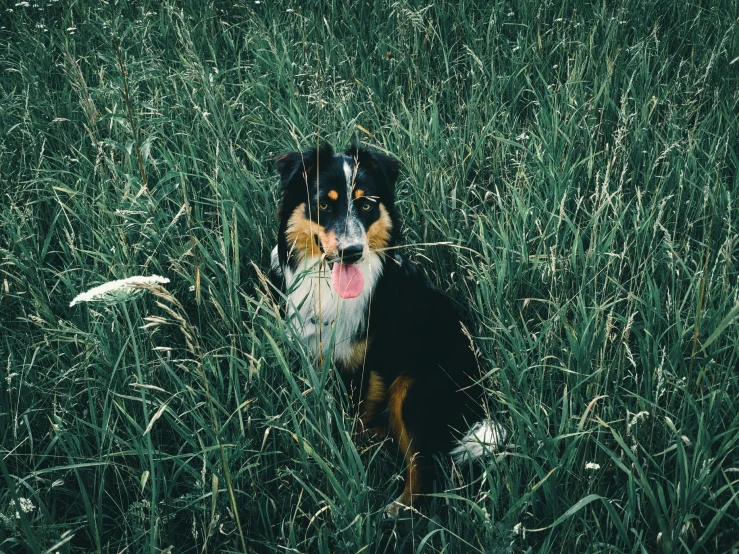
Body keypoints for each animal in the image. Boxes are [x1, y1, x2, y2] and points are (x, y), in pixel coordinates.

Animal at [268, 144, 506, 516]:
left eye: (366, 205)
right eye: (324, 204)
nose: (352, 252)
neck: (329, 288)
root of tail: (478, 396)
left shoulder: (369, 363)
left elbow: (358, 413)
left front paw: (353, 452)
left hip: (413, 387)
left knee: (423, 467)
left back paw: (398, 510)